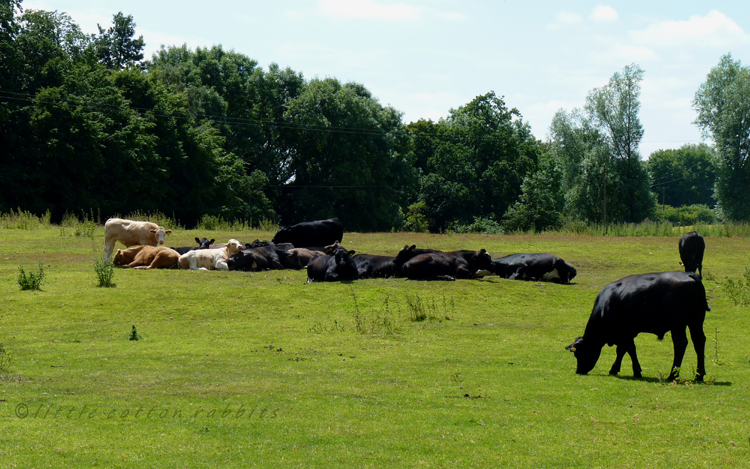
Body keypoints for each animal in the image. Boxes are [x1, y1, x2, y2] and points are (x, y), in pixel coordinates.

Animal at [568, 270, 712, 380]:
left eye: (579, 354)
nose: (579, 370)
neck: (605, 306)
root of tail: (689, 274)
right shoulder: (627, 333)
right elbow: (622, 350)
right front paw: (615, 369)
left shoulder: (625, 332)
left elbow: (630, 350)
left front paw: (636, 371)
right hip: (696, 321)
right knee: (699, 341)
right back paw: (699, 375)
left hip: (678, 324)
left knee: (680, 344)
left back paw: (672, 375)